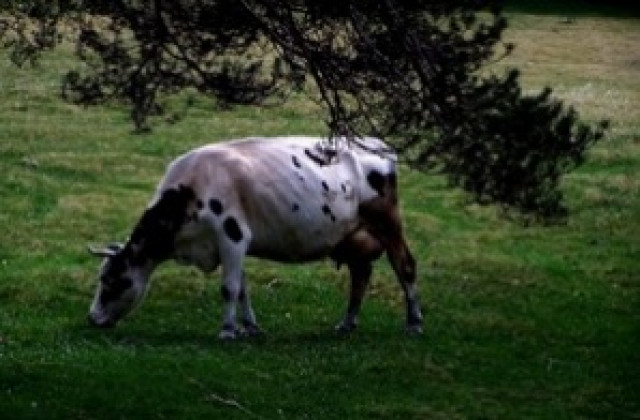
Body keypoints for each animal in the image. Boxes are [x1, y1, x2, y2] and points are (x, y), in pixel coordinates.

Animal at [87, 136, 422, 340]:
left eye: (114, 281)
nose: (92, 318)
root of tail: (377, 144)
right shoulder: (233, 245)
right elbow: (243, 289)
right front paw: (250, 328)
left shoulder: (231, 234)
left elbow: (229, 288)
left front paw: (227, 331)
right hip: (352, 237)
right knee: (360, 275)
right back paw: (346, 324)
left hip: (388, 223)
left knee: (405, 266)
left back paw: (414, 323)